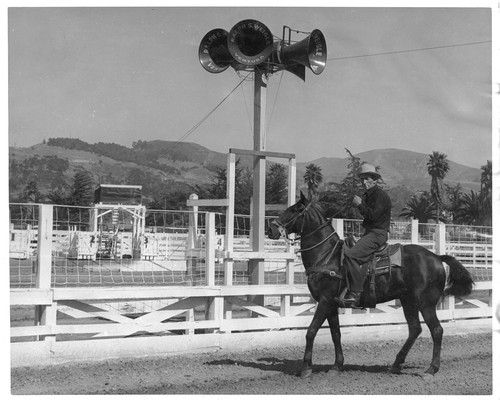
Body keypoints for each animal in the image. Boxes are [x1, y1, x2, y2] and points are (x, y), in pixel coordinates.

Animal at [268, 192, 474, 380]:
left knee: (436, 330)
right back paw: (396, 364)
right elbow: (336, 334)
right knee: (415, 329)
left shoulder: (325, 302)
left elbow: (311, 332)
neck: (326, 255)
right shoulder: (332, 304)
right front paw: (337, 366)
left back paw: (431, 369)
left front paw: (306, 368)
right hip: (408, 301)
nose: (271, 229)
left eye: (295, 209)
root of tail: (437, 257)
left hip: (426, 304)